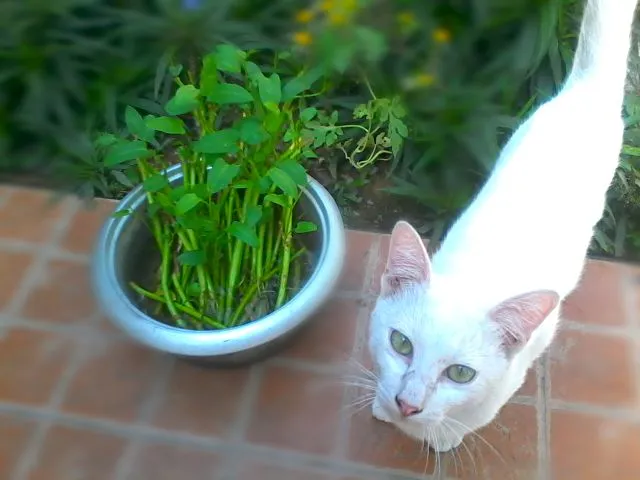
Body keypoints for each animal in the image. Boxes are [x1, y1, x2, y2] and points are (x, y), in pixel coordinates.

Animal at [368, 0, 636, 454]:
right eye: (400, 343)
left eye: (460, 374)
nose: (407, 404)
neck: (476, 276)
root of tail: (583, 93)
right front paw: (382, 407)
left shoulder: (508, 378)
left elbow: (470, 417)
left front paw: (442, 435)